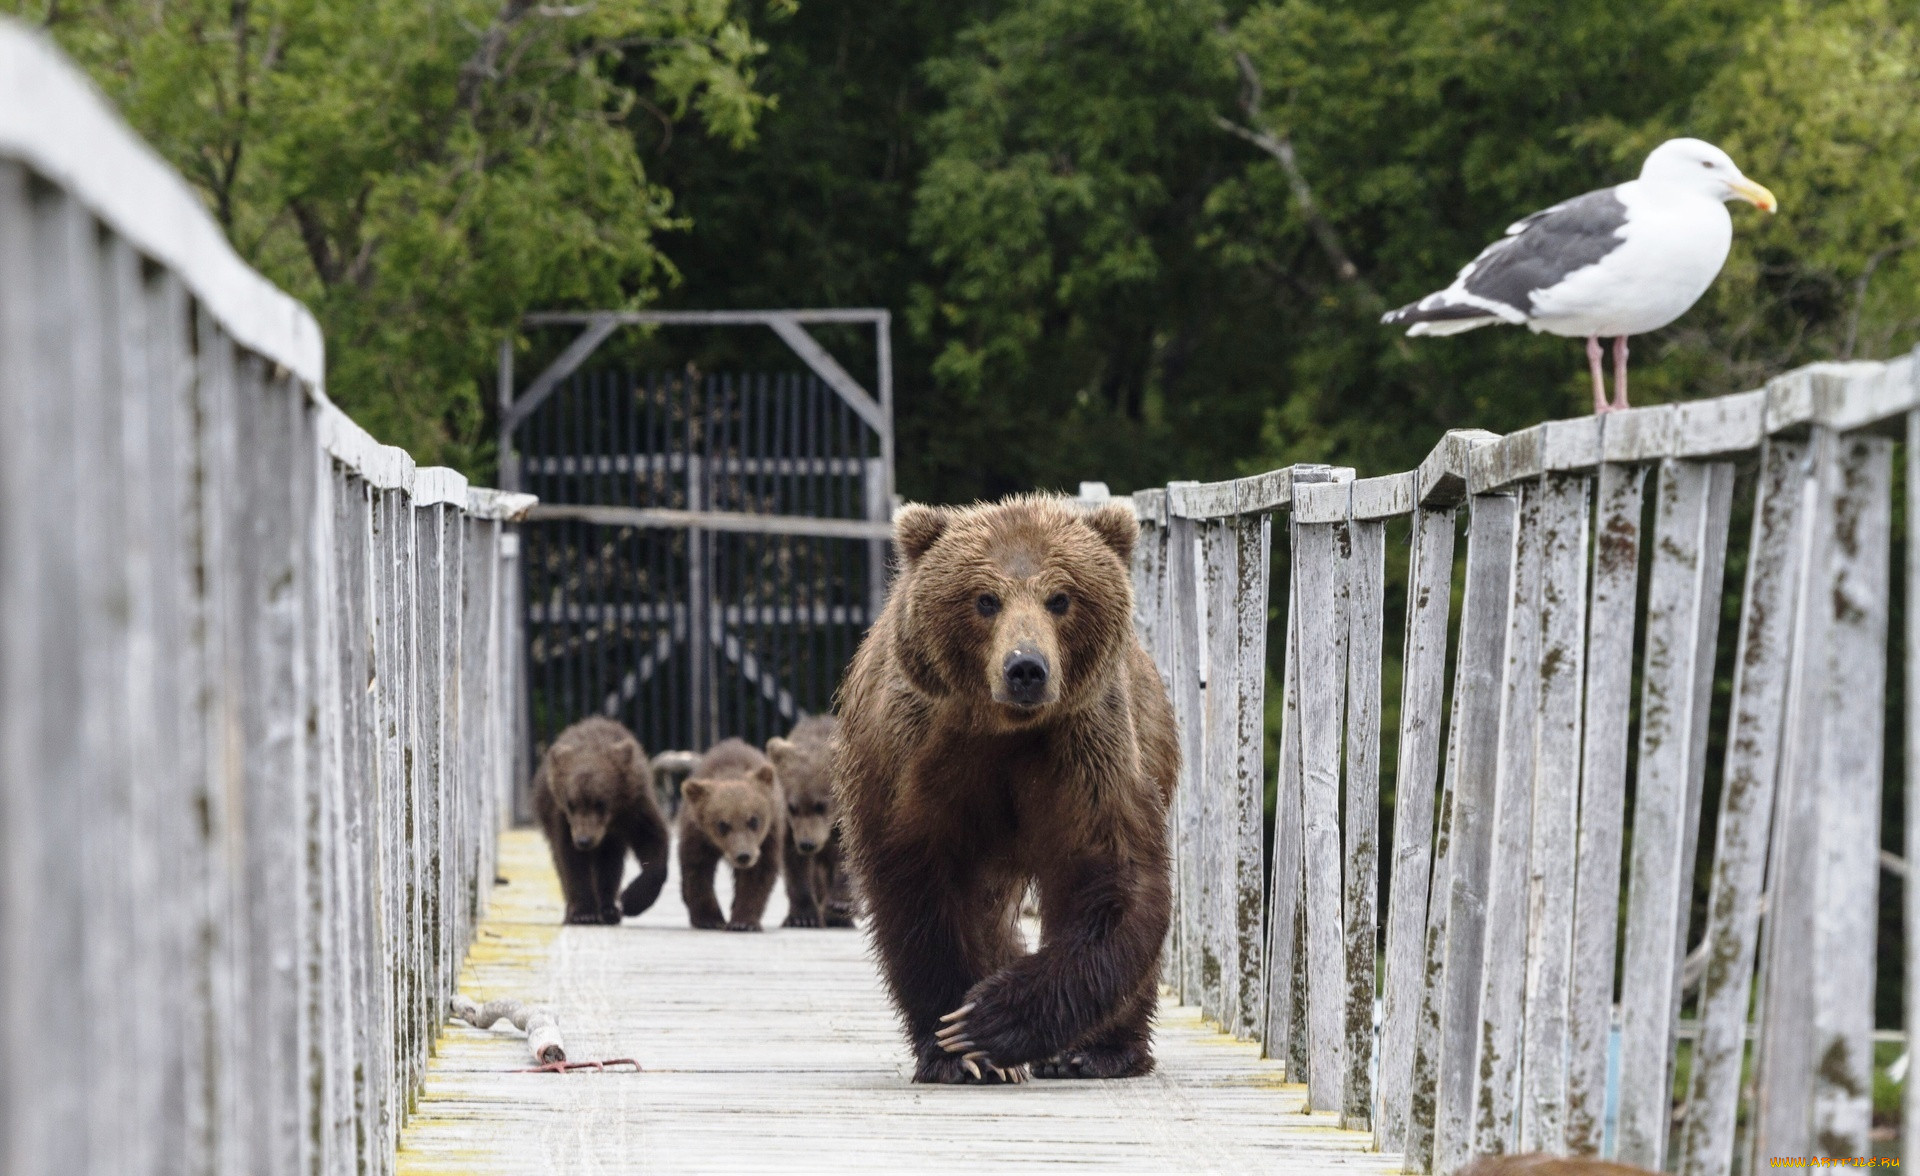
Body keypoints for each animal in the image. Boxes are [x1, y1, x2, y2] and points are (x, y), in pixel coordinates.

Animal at [529, 714, 672, 926]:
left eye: (601, 802)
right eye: (571, 803)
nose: (584, 840)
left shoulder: (635, 807)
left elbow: (653, 841)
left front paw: (631, 900)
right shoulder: (563, 819)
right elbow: (571, 861)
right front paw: (583, 913)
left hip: (612, 840)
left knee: (609, 864)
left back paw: (609, 909)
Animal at [672, 737, 783, 933]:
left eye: (753, 820)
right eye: (722, 825)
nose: (743, 856)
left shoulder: (767, 837)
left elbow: (757, 875)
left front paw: (743, 922)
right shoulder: (698, 835)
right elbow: (698, 870)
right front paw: (710, 919)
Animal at [768, 714, 852, 926]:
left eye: (821, 805)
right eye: (792, 807)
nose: (807, 844)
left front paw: (840, 904)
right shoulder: (791, 828)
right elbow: (796, 867)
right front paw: (802, 917)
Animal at [837, 490, 1175, 1083]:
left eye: (1060, 597)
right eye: (985, 599)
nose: (1026, 668)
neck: (1004, 731)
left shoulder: (1086, 749)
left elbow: (1114, 879)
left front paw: (988, 1022)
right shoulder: (914, 760)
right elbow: (921, 888)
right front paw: (956, 1048)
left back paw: (1099, 1050)